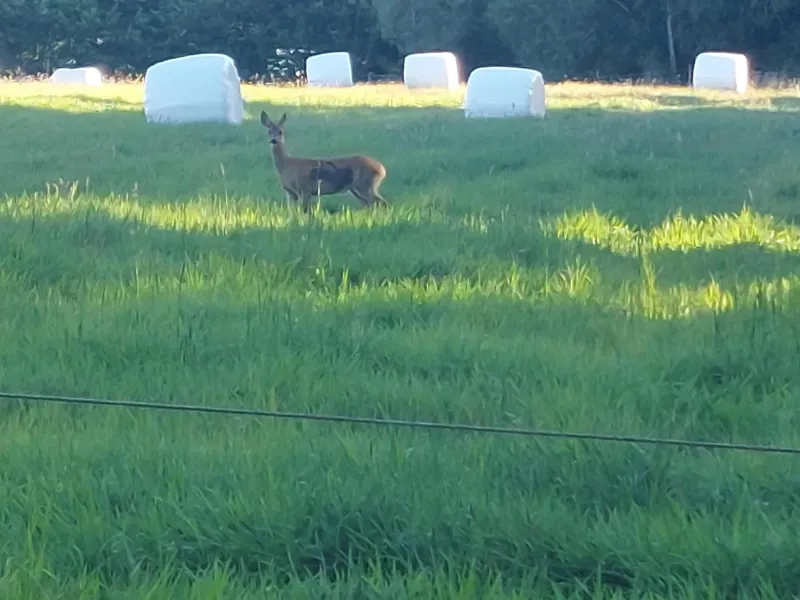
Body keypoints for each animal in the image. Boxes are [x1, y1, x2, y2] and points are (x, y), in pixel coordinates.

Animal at [259, 111, 388, 212]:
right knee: (370, 205)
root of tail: (382, 169)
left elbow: (305, 211)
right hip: (357, 189)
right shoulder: (290, 193)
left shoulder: (305, 188)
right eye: (269, 131)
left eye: (280, 131)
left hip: (365, 185)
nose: (274, 140)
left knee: (381, 203)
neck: (286, 165)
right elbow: (293, 211)